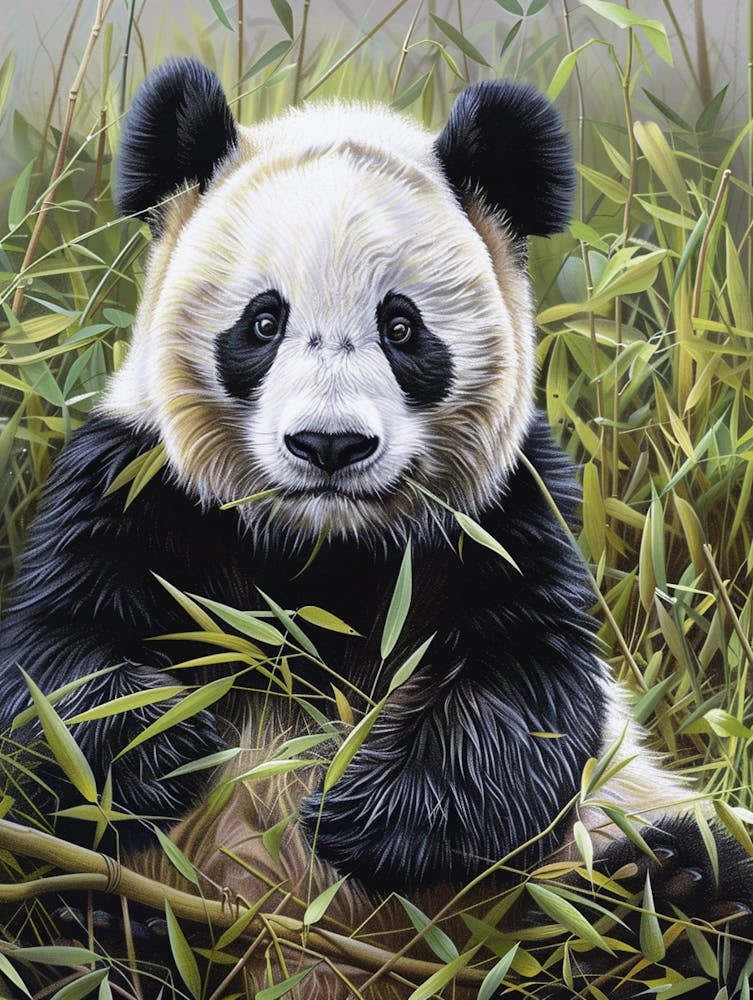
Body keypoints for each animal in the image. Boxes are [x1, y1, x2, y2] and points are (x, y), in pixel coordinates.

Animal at [0, 58, 751, 1000]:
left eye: (401, 327)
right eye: (263, 321)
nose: (329, 445)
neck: (319, 543)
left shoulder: (500, 514)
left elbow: (524, 694)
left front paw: (357, 817)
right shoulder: (134, 483)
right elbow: (55, 672)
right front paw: (169, 744)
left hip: (601, 831)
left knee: (690, 870)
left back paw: (658, 896)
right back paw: (106, 927)